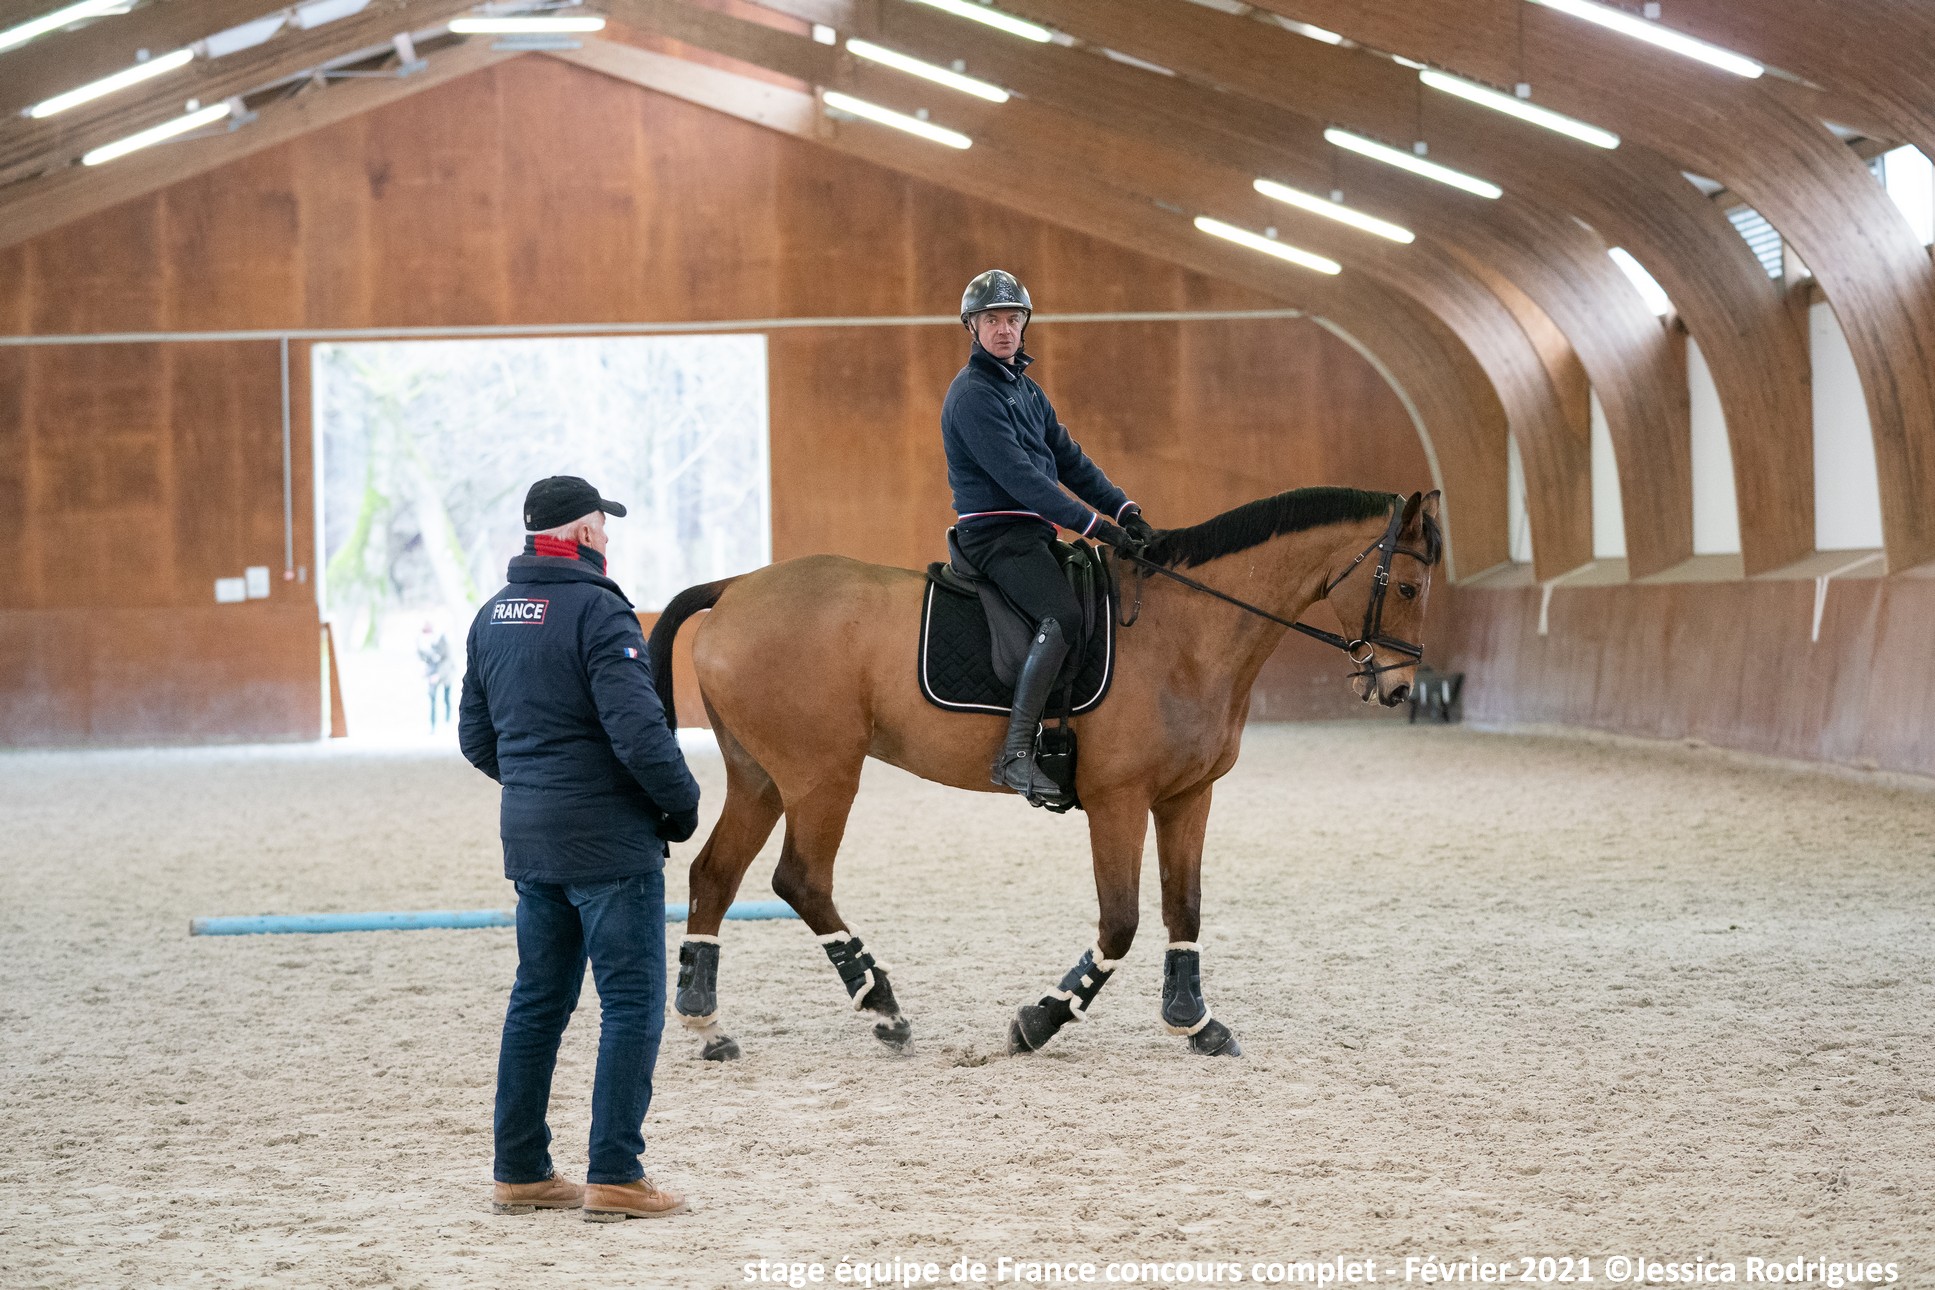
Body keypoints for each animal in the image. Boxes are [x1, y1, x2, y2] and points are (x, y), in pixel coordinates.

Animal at [646, 483, 1439, 1059]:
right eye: (1405, 588)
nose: (1399, 687)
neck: (1187, 634)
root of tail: (736, 587)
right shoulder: (1119, 799)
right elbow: (1120, 921)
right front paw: (1042, 1018)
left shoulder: (1188, 796)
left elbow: (1184, 909)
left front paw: (1194, 1019)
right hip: (821, 776)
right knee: (800, 880)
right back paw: (883, 1007)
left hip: (761, 777)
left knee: (714, 876)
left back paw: (706, 1023)